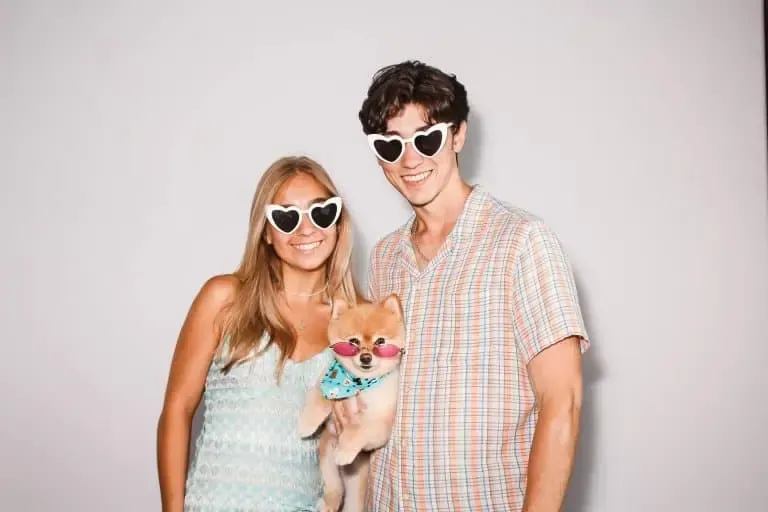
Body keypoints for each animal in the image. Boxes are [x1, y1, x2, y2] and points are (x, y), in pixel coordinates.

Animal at [298, 294, 408, 512]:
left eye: (380, 342)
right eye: (353, 342)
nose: (365, 357)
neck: (357, 383)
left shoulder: (381, 424)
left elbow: (358, 428)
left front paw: (345, 450)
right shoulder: (327, 383)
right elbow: (319, 398)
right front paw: (306, 424)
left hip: (356, 485)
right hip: (327, 459)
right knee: (333, 488)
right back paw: (328, 504)